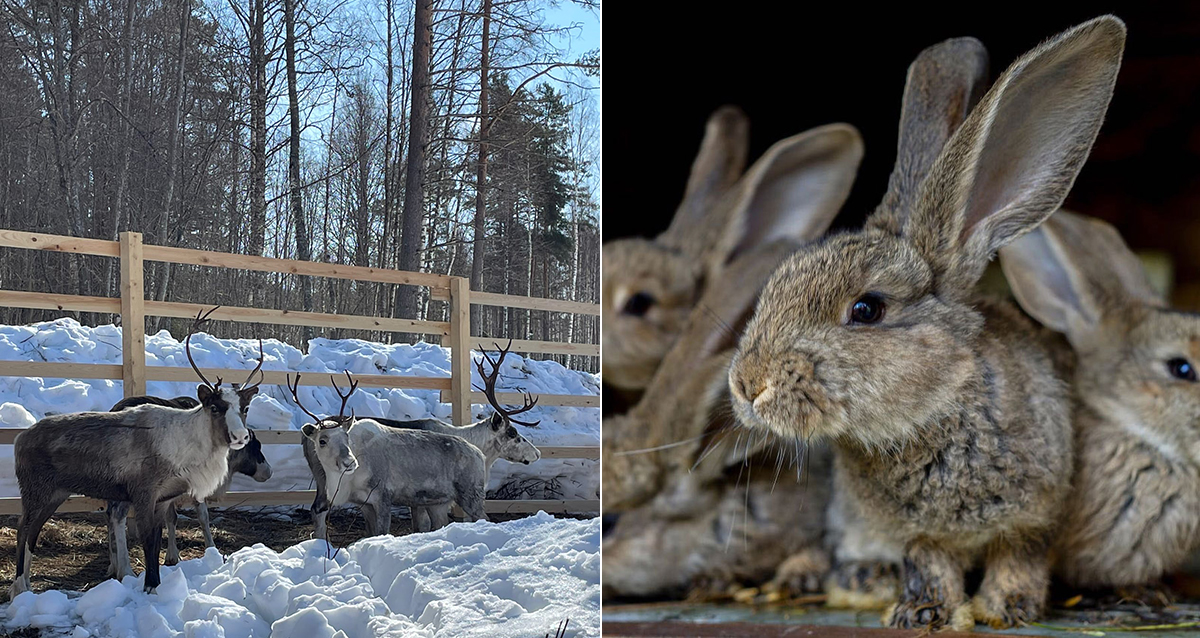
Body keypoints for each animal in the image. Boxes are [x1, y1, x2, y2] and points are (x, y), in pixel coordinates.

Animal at [724, 16, 1128, 633]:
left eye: (866, 310)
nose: (748, 385)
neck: (935, 410)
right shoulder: (917, 535)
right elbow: (929, 562)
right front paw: (923, 611)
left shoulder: (1036, 516)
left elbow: (1020, 558)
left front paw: (1010, 607)